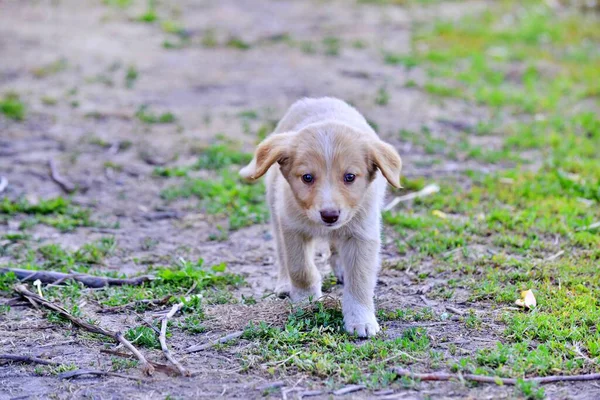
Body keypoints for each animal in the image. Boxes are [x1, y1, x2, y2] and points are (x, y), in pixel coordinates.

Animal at [240, 97, 404, 338]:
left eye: (350, 177)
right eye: (307, 178)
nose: (329, 215)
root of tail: (316, 100)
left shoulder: (363, 234)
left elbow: (360, 281)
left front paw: (361, 319)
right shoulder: (292, 227)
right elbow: (300, 269)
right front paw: (306, 300)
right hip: (275, 210)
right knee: (281, 253)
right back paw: (284, 283)